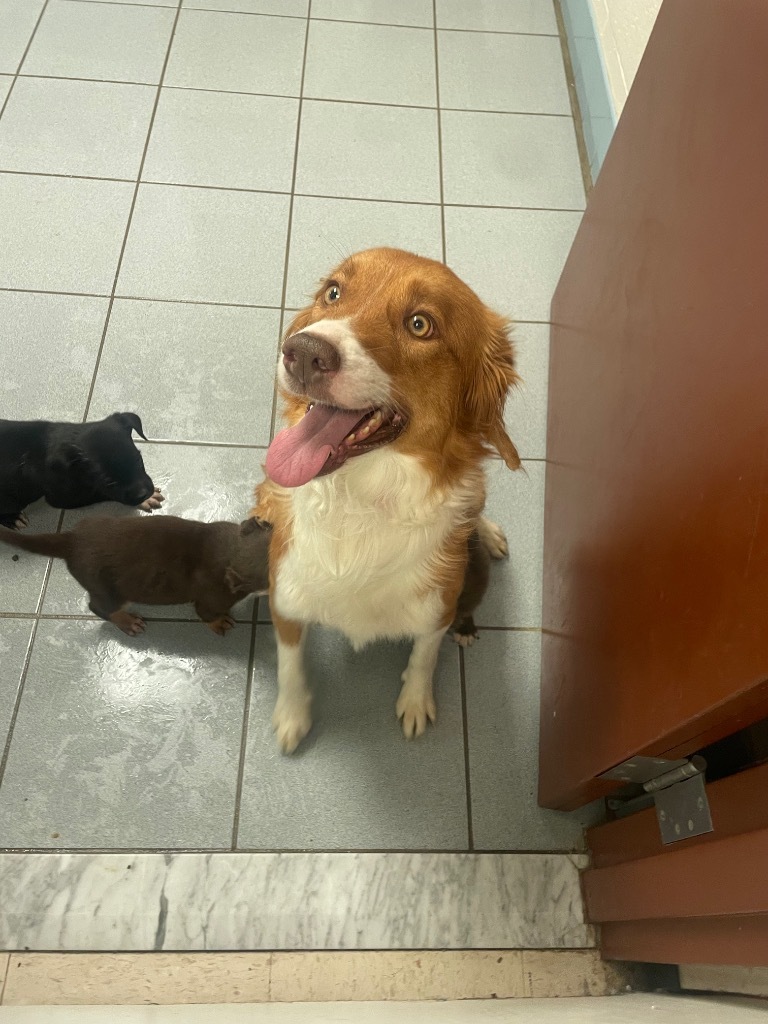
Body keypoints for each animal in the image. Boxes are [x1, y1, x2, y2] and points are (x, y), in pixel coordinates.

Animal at [0, 411, 162, 532]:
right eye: (108, 482)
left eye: (138, 460)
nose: (142, 494)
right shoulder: (63, 498)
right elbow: (103, 494)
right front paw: (146, 500)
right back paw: (12, 519)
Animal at [0, 516, 270, 634]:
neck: (226, 549)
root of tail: (73, 541)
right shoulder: (214, 595)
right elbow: (205, 613)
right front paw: (221, 622)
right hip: (105, 586)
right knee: (98, 606)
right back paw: (128, 622)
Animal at [256, 247, 520, 753]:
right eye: (333, 292)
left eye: (420, 324)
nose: (304, 352)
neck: (358, 504)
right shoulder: (287, 594)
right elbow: (290, 665)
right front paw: (292, 716)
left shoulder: (438, 606)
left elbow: (423, 656)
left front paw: (415, 702)